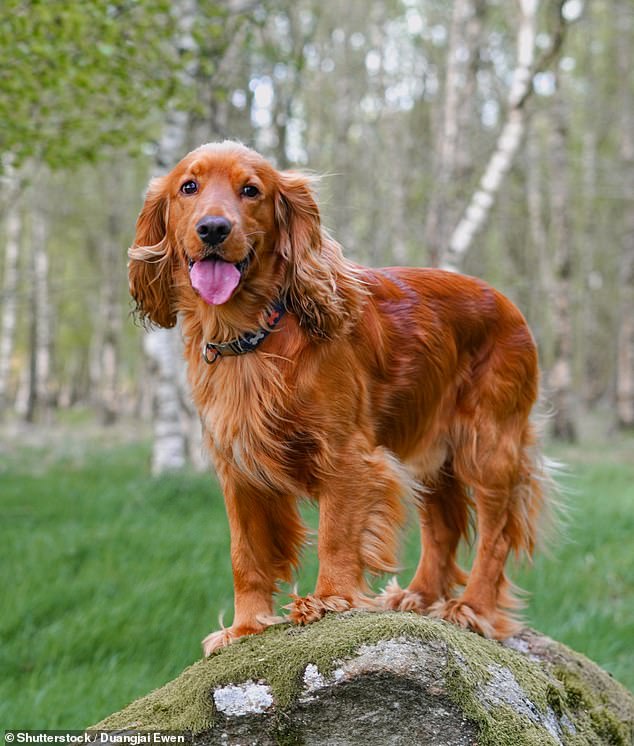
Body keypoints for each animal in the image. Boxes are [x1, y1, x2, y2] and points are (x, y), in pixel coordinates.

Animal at [128, 140, 548, 652]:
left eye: (251, 191)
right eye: (189, 187)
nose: (213, 228)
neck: (254, 336)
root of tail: (508, 304)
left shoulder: (347, 456)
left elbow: (335, 532)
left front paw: (329, 599)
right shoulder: (238, 468)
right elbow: (245, 554)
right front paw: (245, 627)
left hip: (487, 446)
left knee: (495, 535)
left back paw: (473, 609)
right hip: (429, 453)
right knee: (442, 528)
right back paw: (418, 596)